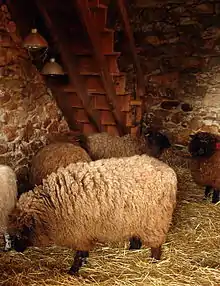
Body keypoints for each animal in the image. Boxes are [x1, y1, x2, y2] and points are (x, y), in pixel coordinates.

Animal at [7, 155, 178, 276]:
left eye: (21, 232)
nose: (17, 249)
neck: (52, 205)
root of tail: (169, 171)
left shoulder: (79, 233)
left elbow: (79, 254)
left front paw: (73, 270)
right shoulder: (82, 232)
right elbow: (82, 253)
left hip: (156, 220)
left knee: (156, 245)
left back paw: (153, 261)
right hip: (137, 217)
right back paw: (133, 248)